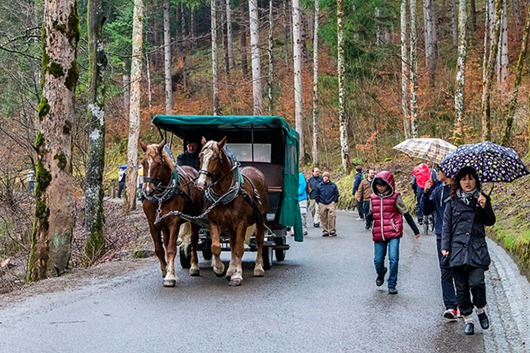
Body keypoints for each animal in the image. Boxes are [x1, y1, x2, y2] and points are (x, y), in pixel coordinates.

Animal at [139, 140, 203, 286]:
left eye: (158, 163)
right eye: (143, 162)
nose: (148, 190)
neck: (160, 198)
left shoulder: (174, 222)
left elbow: (171, 249)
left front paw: (170, 276)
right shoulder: (153, 223)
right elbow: (159, 249)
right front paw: (165, 270)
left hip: (195, 219)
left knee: (194, 241)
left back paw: (194, 266)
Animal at [195, 136, 268, 284]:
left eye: (216, 158)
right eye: (200, 155)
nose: (201, 184)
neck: (224, 194)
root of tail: (255, 170)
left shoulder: (242, 223)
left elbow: (240, 249)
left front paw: (237, 275)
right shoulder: (214, 222)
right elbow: (216, 247)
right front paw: (219, 268)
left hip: (260, 219)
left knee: (259, 241)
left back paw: (258, 268)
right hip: (231, 226)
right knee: (233, 244)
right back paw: (230, 269)